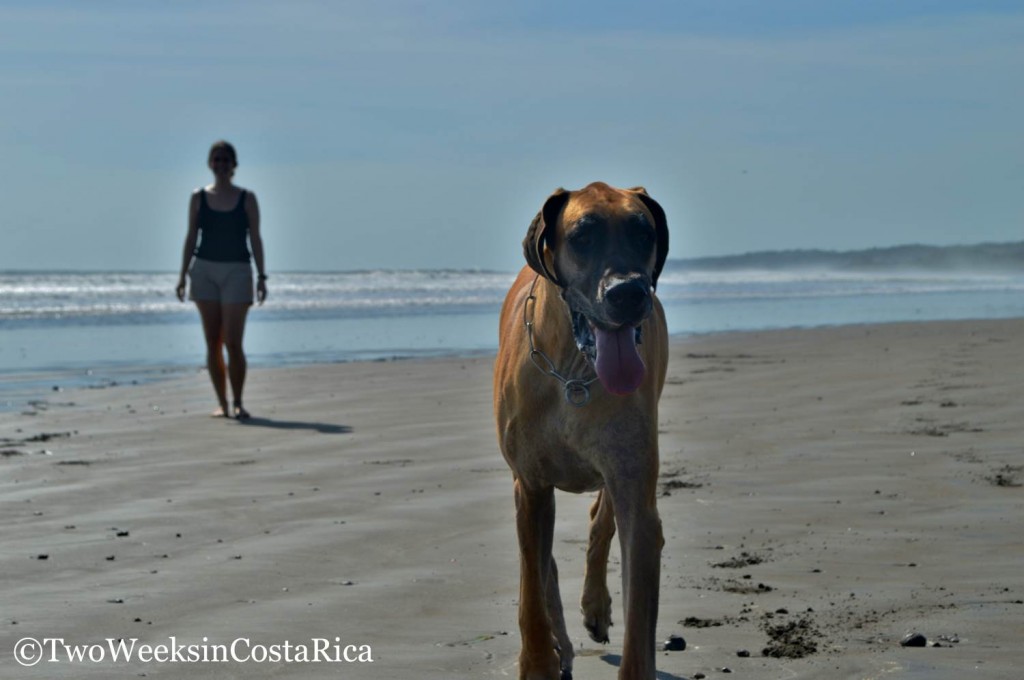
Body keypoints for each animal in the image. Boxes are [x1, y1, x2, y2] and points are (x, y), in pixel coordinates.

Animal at [491, 182, 667, 680]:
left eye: (644, 232)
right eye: (582, 236)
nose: (629, 294)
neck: (573, 371)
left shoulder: (636, 497)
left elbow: (638, 619)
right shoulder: (531, 485)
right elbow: (531, 589)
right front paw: (538, 662)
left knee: (599, 519)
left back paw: (594, 607)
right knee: (543, 564)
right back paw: (562, 645)